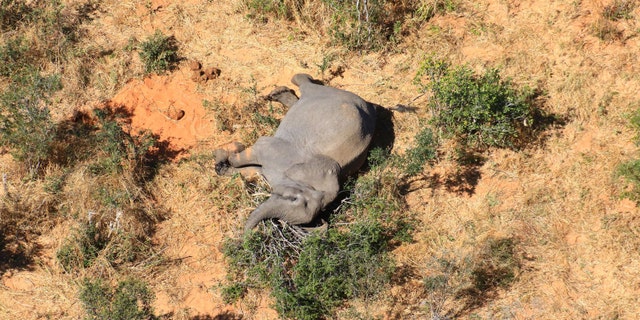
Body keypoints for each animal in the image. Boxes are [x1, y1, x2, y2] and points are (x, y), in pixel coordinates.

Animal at [215, 73, 376, 231]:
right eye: (294, 198)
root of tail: (367, 105)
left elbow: (252, 170)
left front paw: (222, 163)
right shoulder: (278, 151)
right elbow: (249, 155)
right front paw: (229, 151)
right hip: (326, 94)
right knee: (306, 85)